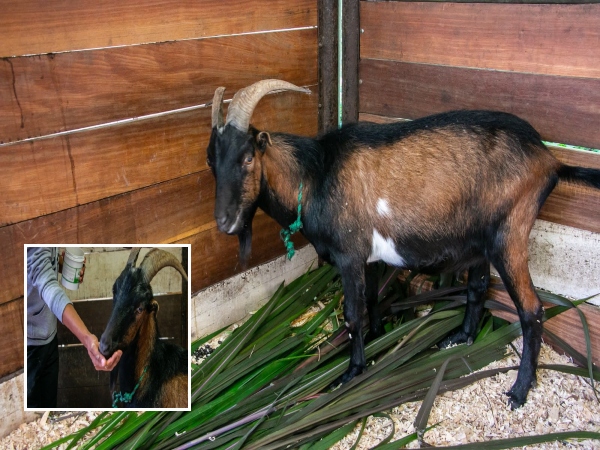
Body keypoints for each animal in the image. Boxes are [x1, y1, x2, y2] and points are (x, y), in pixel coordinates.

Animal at [206, 79, 600, 410]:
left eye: (248, 157)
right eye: (211, 160)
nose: (225, 223)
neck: (316, 175)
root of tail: (549, 160)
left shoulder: (349, 255)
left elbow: (352, 315)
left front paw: (352, 372)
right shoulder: (366, 257)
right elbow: (371, 298)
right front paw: (379, 335)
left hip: (510, 235)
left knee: (532, 310)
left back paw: (519, 391)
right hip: (481, 241)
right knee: (477, 287)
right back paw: (461, 338)